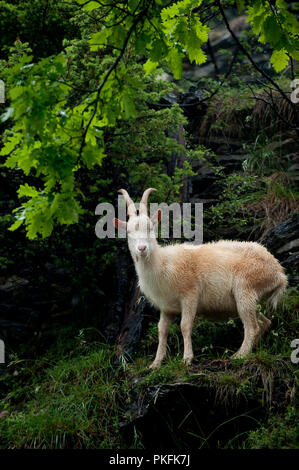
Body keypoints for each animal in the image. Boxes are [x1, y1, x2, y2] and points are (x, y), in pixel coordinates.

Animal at [114, 189, 288, 370]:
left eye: (150, 227)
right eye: (128, 232)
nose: (142, 248)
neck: (163, 262)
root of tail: (280, 273)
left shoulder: (190, 295)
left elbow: (185, 325)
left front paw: (187, 358)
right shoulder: (166, 307)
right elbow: (162, 330)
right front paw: (156, 363)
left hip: (246, 287)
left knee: (252, 326)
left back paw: (239, 355)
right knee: (264, 322)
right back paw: (254, 349)